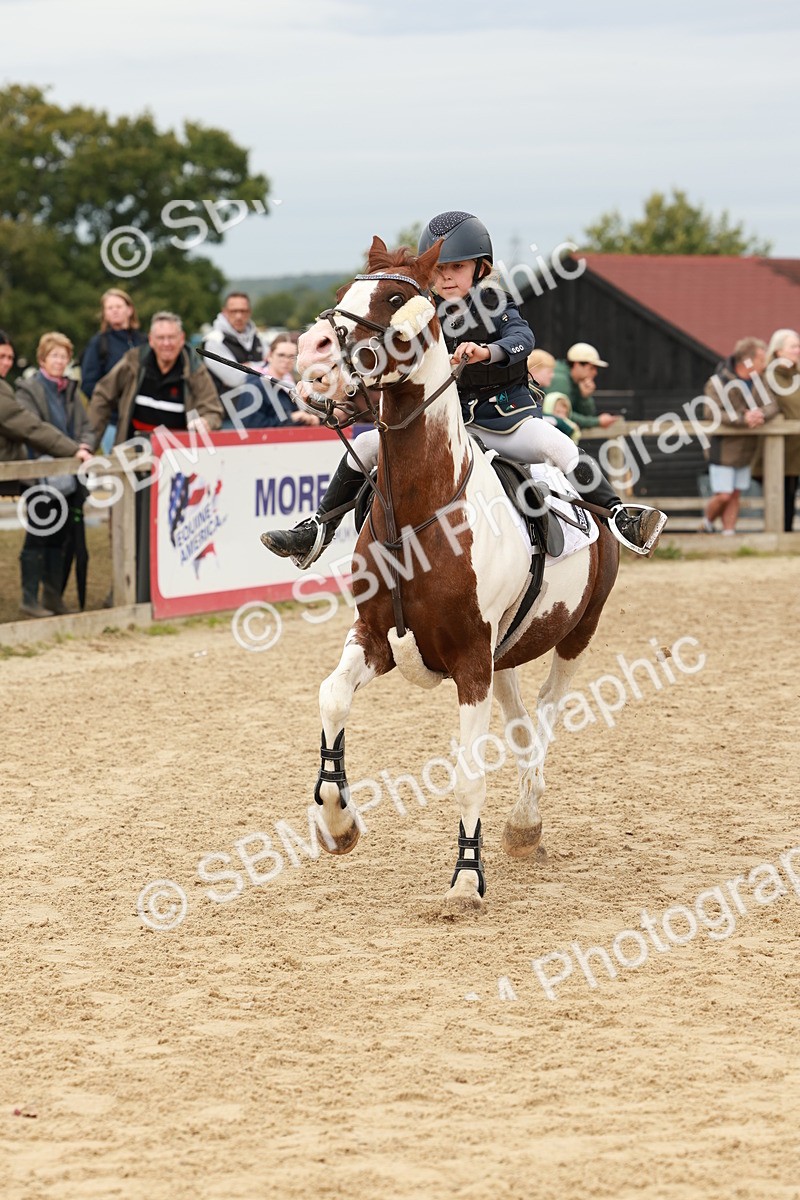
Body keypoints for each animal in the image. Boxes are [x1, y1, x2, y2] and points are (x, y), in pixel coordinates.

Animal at [295, 237, 620, 907]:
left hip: (578, 631)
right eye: (346, 291)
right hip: (509, 648)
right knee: (521, 724)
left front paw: (467, 878)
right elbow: (332, 698)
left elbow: (470, 770)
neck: (423, 511)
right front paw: (337, 822)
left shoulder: (471, 657)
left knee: (545, 714)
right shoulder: (376, 636)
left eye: (394, 300)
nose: (315, 361)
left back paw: (525, 819)